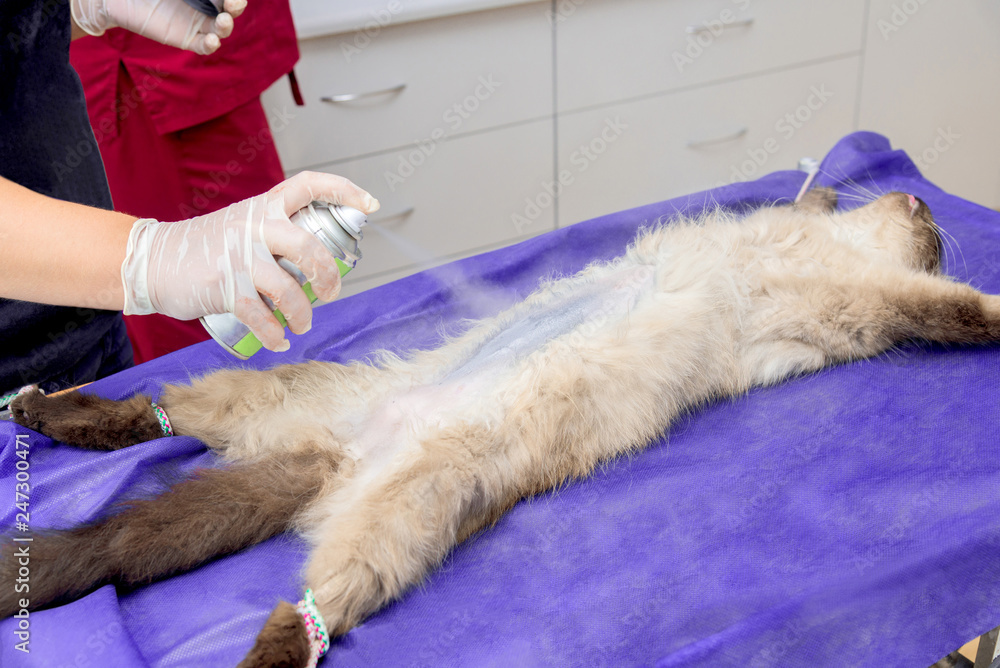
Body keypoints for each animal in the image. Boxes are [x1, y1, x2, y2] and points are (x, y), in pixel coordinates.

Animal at [1, 189, 1000, 668]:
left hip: (403, 508)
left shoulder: (856, 304)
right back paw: (41, 407)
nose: (925, 206)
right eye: (927, 221)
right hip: (289, 401)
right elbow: (945, 297)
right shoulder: (836, 279)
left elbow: (948, 308)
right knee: (158, 420)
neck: (827, 249)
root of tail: (343, 458)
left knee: (299, 600)